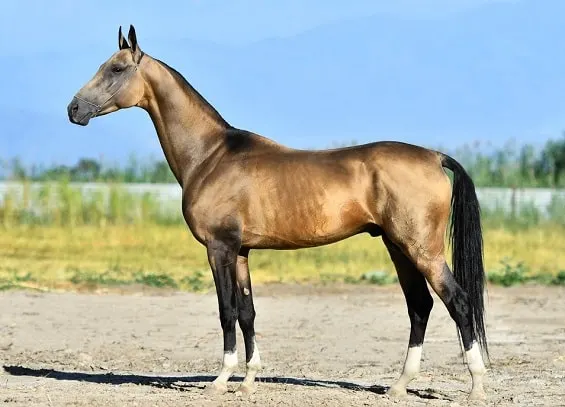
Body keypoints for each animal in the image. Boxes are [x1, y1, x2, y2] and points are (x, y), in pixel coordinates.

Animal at [67, 25, 490, 402]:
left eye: (116, 68)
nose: (74, 109)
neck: (211, 156)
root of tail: (434, 157)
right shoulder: (240, 252)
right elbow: (247, 312)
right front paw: (249, 381)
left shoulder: (219, 249)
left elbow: (226, 311)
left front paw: (221, 381)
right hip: (397, 246)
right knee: (420, 306)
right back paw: (399, 386)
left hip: (422, 251)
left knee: (458, 302)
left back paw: (476, 387)